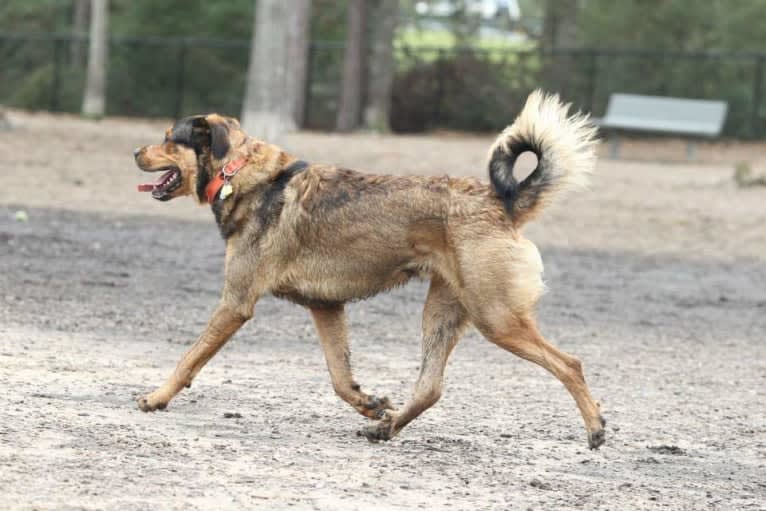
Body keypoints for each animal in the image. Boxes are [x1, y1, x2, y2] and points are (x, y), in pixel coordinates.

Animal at [135, 91, 608, 448]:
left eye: (168, 139)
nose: (136, 151)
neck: (241, 173)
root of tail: (501, 202)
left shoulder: (235, 304)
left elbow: (189, 359)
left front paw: (156, 398)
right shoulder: (325, 308)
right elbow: (340, 378)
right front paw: (371, 405)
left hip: (497, 318)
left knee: (570, 363)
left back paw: (596, 428)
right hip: (442, 313)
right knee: (430, 388)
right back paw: (385, 427)